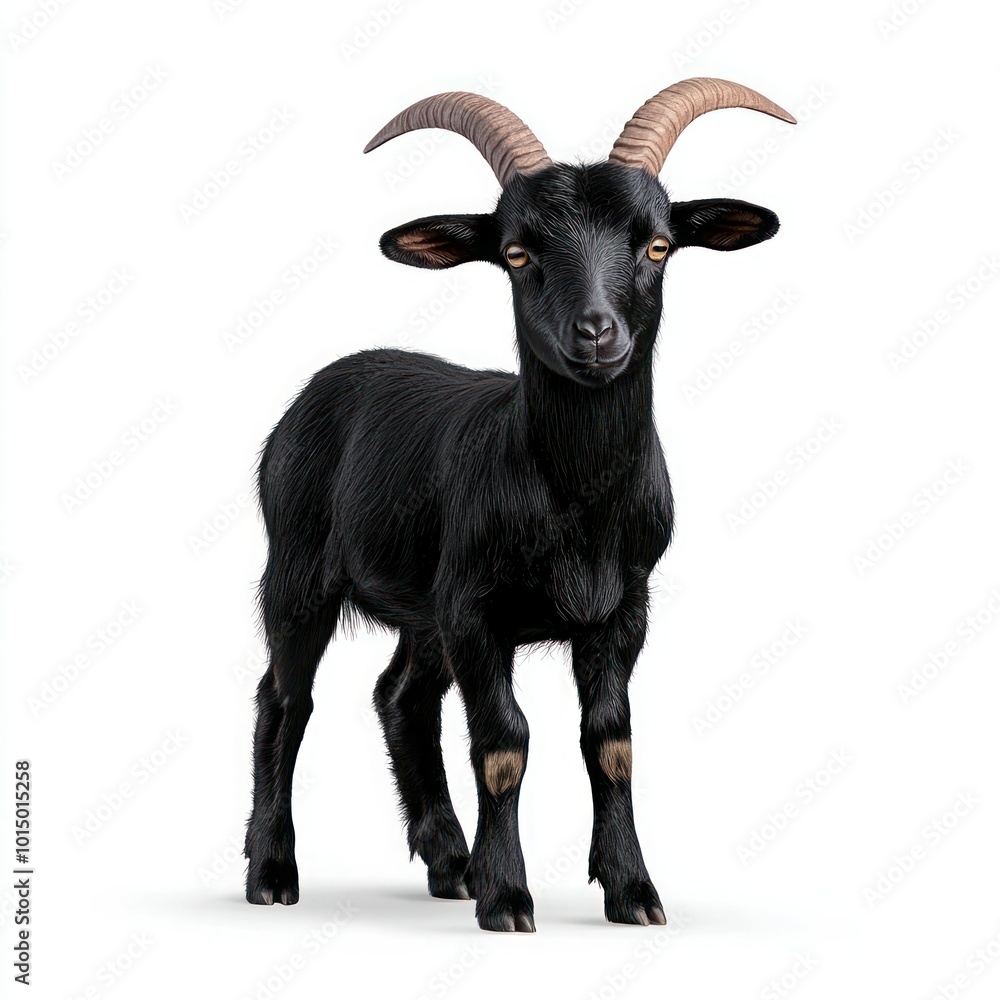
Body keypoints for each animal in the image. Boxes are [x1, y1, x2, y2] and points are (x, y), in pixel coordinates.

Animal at [244, 78, 795, 932]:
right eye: (517, 252)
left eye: (657, 245)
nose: (596, 333)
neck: (577, 507)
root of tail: (321, 385)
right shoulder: (478, 611)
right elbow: (503, 743)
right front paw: (508, 897)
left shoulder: (621, 610)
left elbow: (610, 742)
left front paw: (632, 891)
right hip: (299, 567)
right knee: (284, 699)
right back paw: (272, 870)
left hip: (424, 606)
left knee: (401, 698)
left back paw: (448, 860)